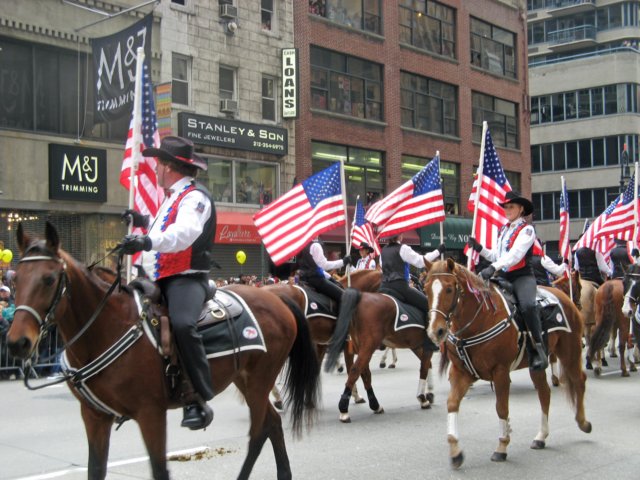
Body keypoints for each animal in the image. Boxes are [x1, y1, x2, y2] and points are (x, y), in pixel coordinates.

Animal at [6, 222, 320, 480]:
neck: (107, 327)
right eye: (16, 277)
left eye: (49, 279)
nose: (17, 342)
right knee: (272, 423)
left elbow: (159, 469)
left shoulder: (150, 413)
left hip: (258, 381)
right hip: (243, 379)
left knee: (258, 431)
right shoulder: (94, 416)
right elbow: (96, 469)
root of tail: (277, 297)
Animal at [422, 258, 592, 468]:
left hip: (570, 352)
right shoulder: (461, 373)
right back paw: (541, 436)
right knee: (544, 393)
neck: (479, 320)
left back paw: (583, 422)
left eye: (448, 289)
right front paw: (455, 451)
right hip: (537, 365)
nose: (435, 331)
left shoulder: (500, 372)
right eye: (426, 288)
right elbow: (452, 403)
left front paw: (502, 446)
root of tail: (565, 299)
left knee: (579, 380)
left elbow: (501, 408)